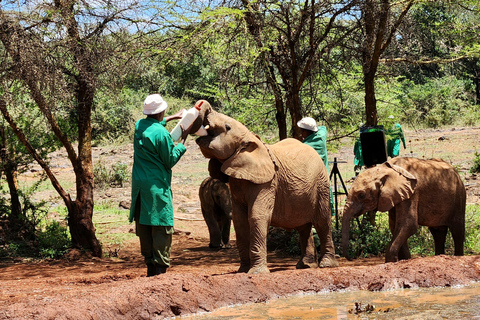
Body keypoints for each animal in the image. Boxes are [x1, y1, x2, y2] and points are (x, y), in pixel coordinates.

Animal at [190, 100, 338, 276]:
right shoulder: (237, 183)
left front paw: (256, 273)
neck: (250, 139)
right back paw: (305, 265)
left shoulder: (267, 183)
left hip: (321, 184)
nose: (200, 104)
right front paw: (242, 271)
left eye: (227, 127)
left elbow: (257, 216)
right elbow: (240, 220)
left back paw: (326, 265)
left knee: (323, 221)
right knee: (303, 226)